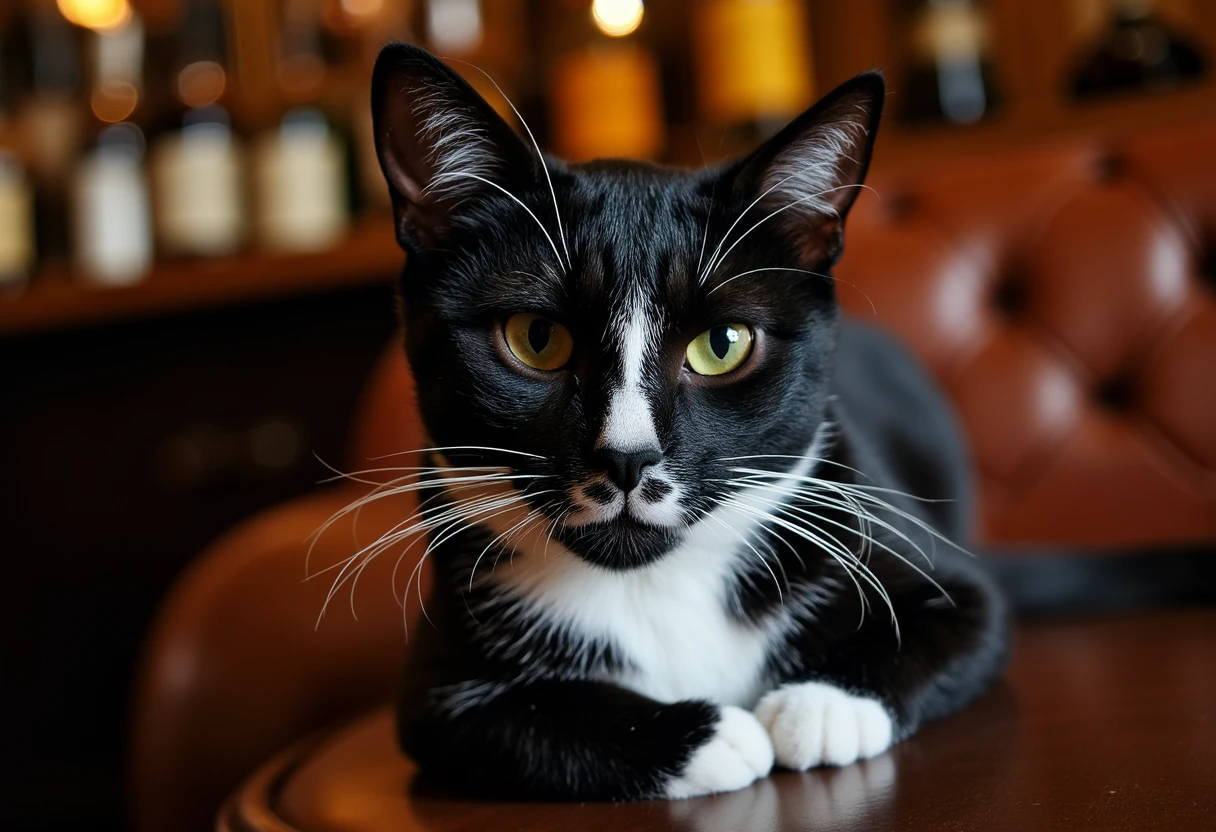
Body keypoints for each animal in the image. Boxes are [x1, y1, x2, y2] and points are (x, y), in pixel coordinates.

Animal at [362, 43, 1006, 797]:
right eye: (535, 338)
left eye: (722, 344)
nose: (627, 457)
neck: (657, 585)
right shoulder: (435, 687)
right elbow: (509, 719)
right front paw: (714, 735)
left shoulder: (937, 572)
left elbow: (968, 616)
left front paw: (821, 708)